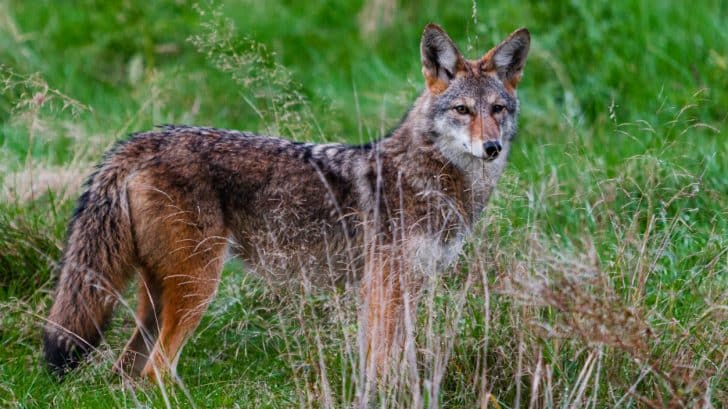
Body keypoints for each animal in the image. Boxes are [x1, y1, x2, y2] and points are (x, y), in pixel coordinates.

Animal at [43, 24, 530, 383]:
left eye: (498, 109)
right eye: (463, 110)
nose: (491, 148)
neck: (429, 180)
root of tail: (146, 138)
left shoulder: (404, 287)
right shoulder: (383, 288)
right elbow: (381, 364)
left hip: (160, 297)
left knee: (128, 372)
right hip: (198, 288)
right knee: (155, 371)